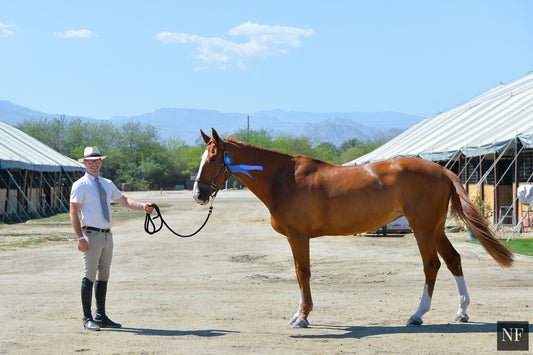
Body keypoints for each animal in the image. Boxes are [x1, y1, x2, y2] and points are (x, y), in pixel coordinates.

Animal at [192, 128, 512, 328]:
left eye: (213, 158)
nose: (199, 194)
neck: (284, 178)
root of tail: (443, 169)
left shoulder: (298, 236)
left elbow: (302, 272)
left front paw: (302, 316)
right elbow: (300, 272)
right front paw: (301, 313)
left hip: (422, 229)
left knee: (432, 265)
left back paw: (417, 314)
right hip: (435, 228)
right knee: (453, 260)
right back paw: (461, 312)